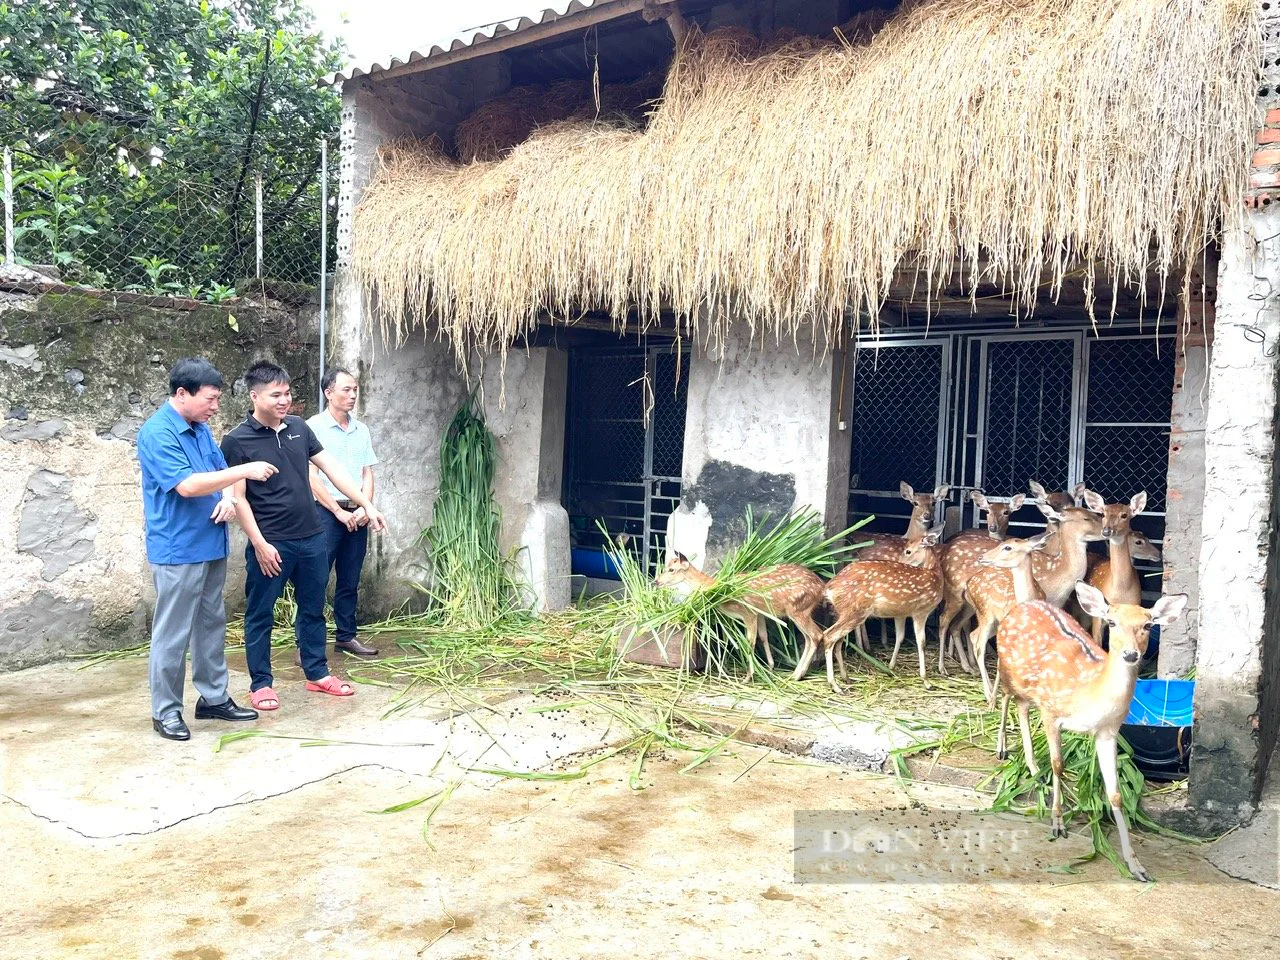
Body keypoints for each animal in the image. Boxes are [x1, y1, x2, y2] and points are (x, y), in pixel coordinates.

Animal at [655, 552, 824, 680]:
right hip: (799, 612)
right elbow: (763, 637)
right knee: (808, 638)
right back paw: (796, 673)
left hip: (798, 609)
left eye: (671, 569)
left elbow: (749, 643)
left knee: (816, 634)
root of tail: (821, 587)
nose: (656, 581)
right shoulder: (759, 613)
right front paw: (770, 666)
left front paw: (749, 676)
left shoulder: (748, 612)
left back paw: (798, 675)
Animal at [793, 527, 947, 691]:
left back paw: (845, 678)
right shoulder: (921, 610)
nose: (899, 561)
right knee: (829, 636)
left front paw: (891, 668)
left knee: (837, 640)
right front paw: (926, 681)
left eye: (908, 551)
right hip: (855, 611)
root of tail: (829, 587)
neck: (936, 576)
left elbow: (900, 636)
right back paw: (835, 685)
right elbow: (921, 643)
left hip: (845, 612)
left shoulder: (902, 613)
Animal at [988, 583, 1187, 885]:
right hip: (1009, 669)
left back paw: (1033, 767)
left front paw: (1136, 865)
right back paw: (1002, 748)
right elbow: (1058, 764)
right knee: (1006, 698)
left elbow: (1115, 794)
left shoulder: (1108, 731)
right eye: (1111, 622)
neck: (1090, 693)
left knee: (1021, 707)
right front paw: (1057, 822)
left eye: (1148, 624)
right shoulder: (1052, 711)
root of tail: (1023, 604)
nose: (1131, 654)